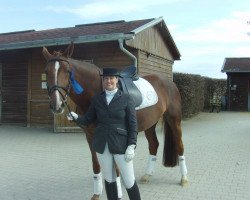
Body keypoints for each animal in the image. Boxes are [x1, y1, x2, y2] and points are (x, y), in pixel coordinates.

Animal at [42, 43, 188, 199]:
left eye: (68, 71)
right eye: (46, 71)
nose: (56, 105)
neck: (96, 92)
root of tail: (168, 82)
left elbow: (115, 168)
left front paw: (117, 192)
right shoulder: (91, 136)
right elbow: (96, 165)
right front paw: (96, 194)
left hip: (174, 120)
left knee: (179, 145)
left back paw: (184, 178)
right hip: (150, 123)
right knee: (154, 145)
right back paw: (147, 175)